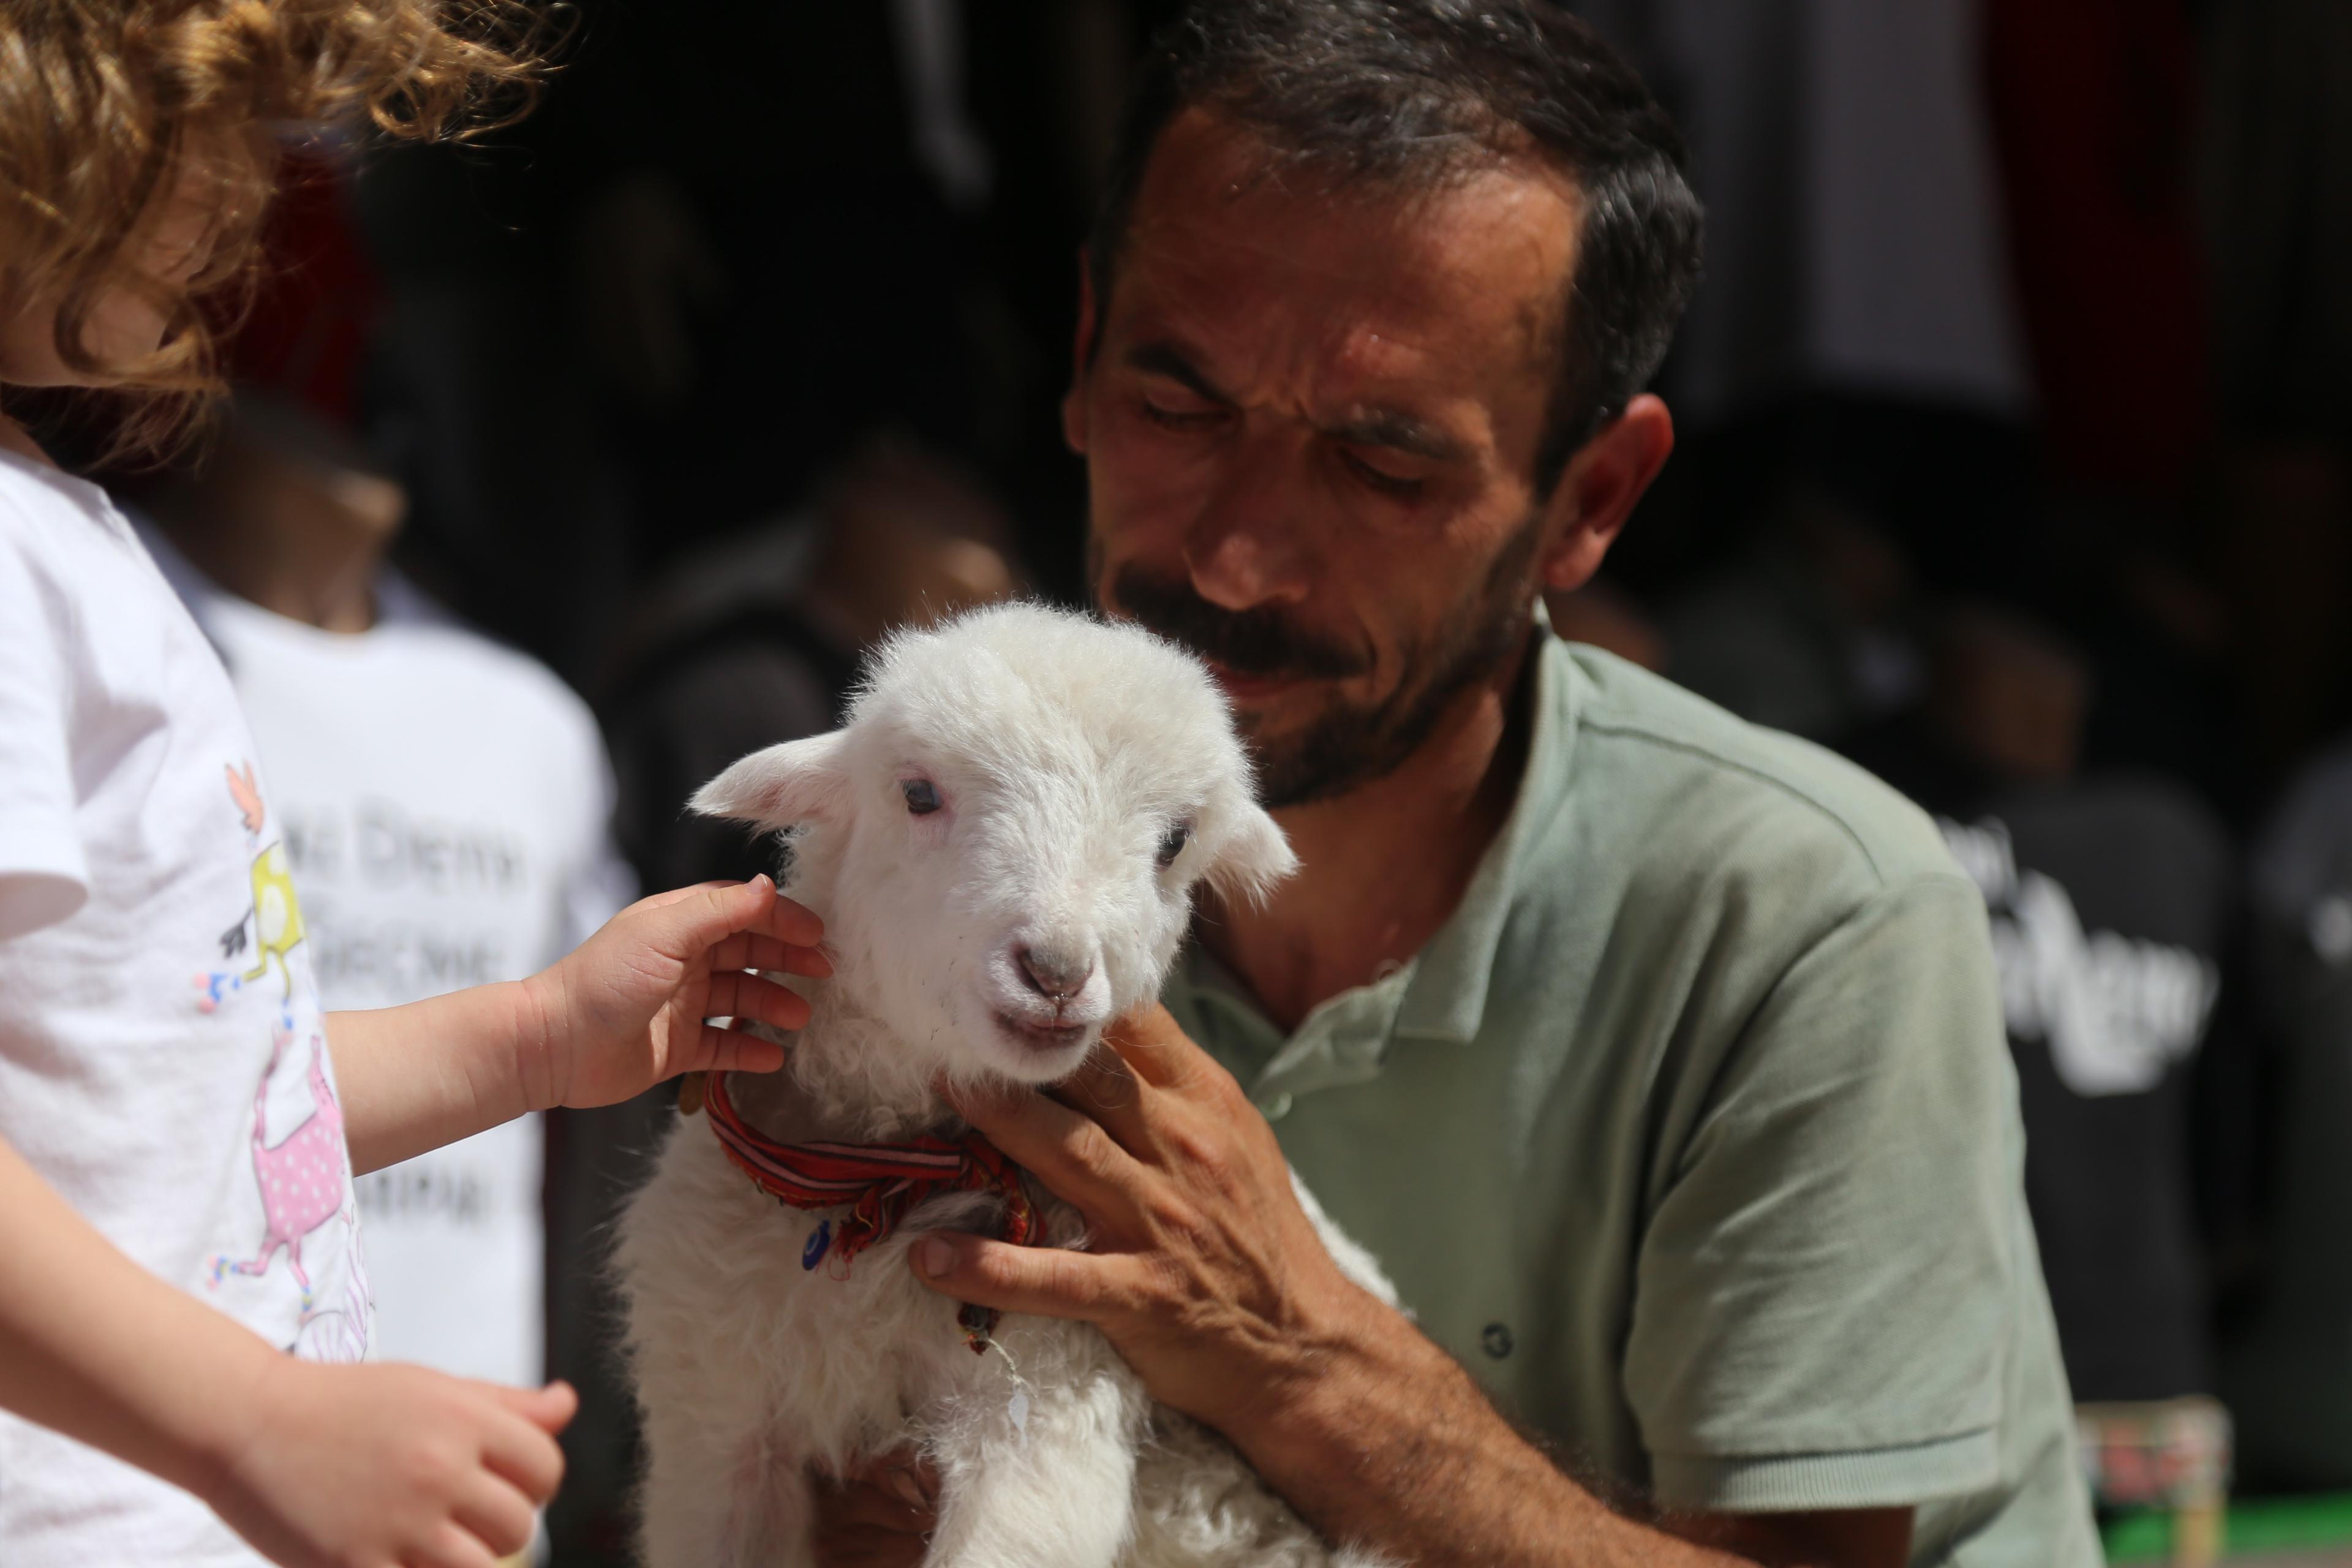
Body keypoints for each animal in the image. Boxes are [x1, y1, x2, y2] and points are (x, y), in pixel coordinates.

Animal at [611, 606, 1392, 1568]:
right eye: (917, 794)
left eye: (1174, 842)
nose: (1055, 970)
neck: (878, 1188)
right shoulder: (717, 1416)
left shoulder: (1048, 1399)